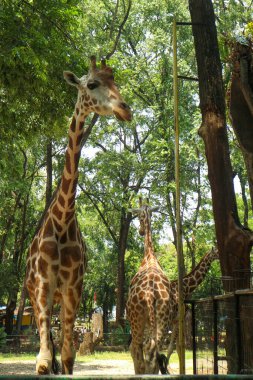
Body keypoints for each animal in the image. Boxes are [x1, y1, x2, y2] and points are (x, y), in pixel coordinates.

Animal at [25, 56, 131, 374]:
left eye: (115, 81)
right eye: (92, 84)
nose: (126, 109)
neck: (62, 221)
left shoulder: (74, 287)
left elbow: (68, 357)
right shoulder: (43, 286)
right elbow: (43, 361)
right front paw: (45, 362)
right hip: (35, 293)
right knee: (46, 343)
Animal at [126, 200, 219, 376]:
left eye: (139, 216)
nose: (140, 231)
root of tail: (150, 294)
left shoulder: (177, 320)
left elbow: (173, 347)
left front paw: (167, 367)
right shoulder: (176, 320)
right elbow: (174, 347)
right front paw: (166, 367)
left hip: (141, 320)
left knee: (139, 349)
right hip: (158, 320)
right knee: (151, 348)